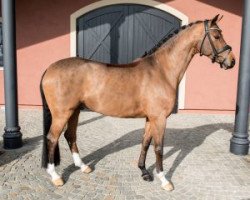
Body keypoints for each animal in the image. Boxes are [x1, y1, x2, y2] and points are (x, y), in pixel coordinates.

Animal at [40, 15, 234, 191]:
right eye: (217, 36)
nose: (231, 61)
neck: (162, 70)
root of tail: (49, 69)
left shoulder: (150, 118)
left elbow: (145, 143)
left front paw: (144, 172)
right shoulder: (160, 119)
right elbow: (158, 148)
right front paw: (164, 180)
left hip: (75, 111)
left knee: (70, 136)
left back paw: (83, 167)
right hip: (62, 113)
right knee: (52, 138)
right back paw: (55, 176)